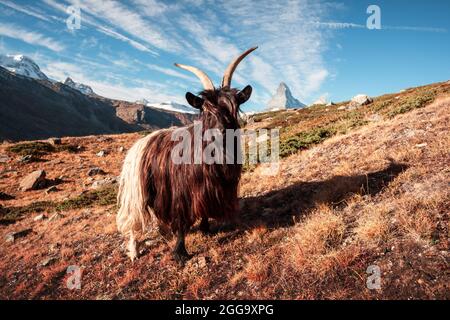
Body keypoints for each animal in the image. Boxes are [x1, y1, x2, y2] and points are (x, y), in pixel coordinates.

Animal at [117, 48, 256, 262]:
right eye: (205, 110)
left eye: (233, 107)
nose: (220, 132)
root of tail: (141, 143)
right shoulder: (181, 193)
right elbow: (182, 221)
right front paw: (180, 252)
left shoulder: (208, 190)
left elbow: (205, 210)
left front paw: (206, 229)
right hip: (136, 191)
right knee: (134, 220)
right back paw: (134, 251)